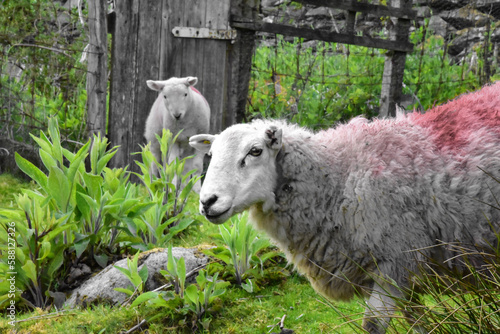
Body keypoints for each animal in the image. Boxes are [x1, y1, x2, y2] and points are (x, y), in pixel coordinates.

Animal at [189, 81, 500, 334]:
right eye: (210, 154)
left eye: (255, 151)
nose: (207, 202)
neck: (339, 176)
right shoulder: (405, 269)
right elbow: (418, 321)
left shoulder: (396, 258)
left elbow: (373, 324)